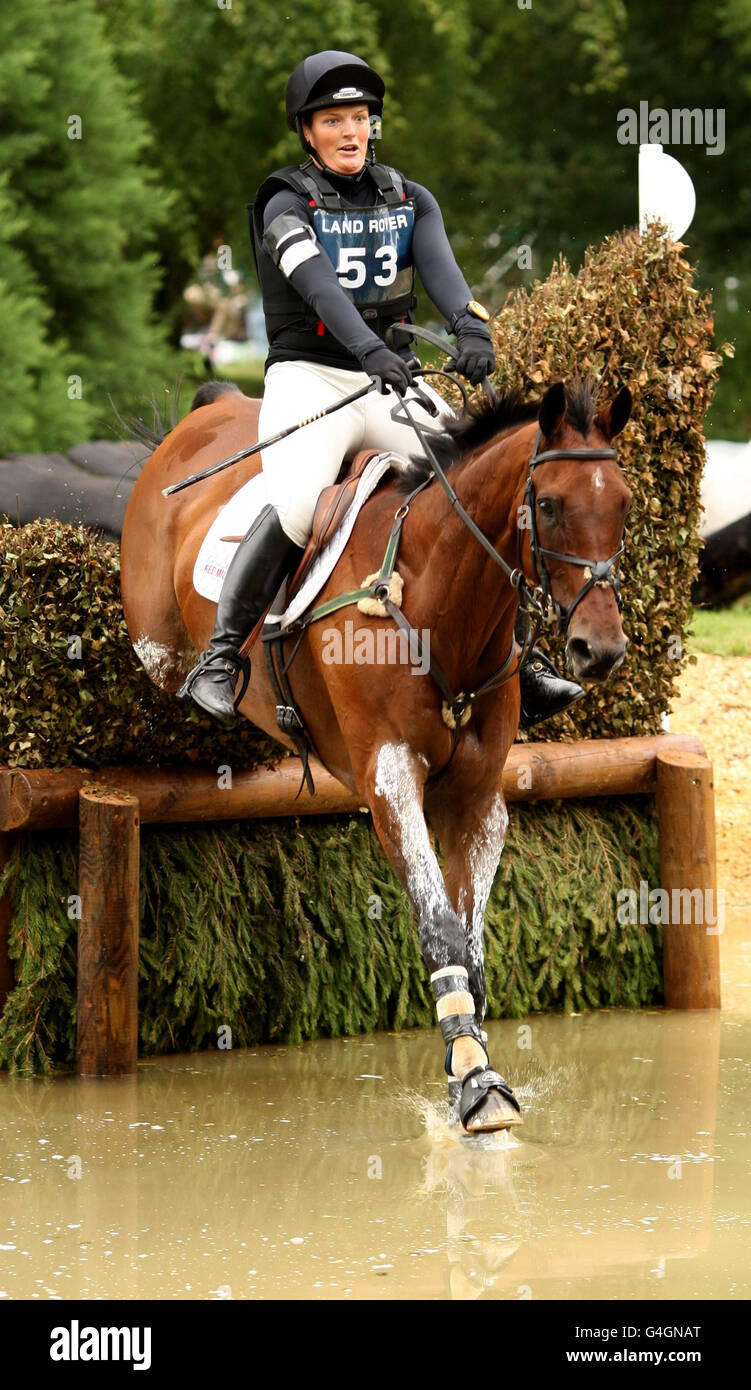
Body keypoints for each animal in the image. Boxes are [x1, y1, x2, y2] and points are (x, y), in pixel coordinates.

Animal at [120, 374, 633, 1133]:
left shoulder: (477, 800)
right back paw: (210, 677)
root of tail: (210, 410)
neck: (438, 602)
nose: (598, 651)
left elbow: (471, 942)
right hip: (155, 647)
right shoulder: (390, 782)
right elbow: (440, 929)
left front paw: (467, 1062)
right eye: (547, 504)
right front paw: (476, 1080)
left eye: (623, 504)